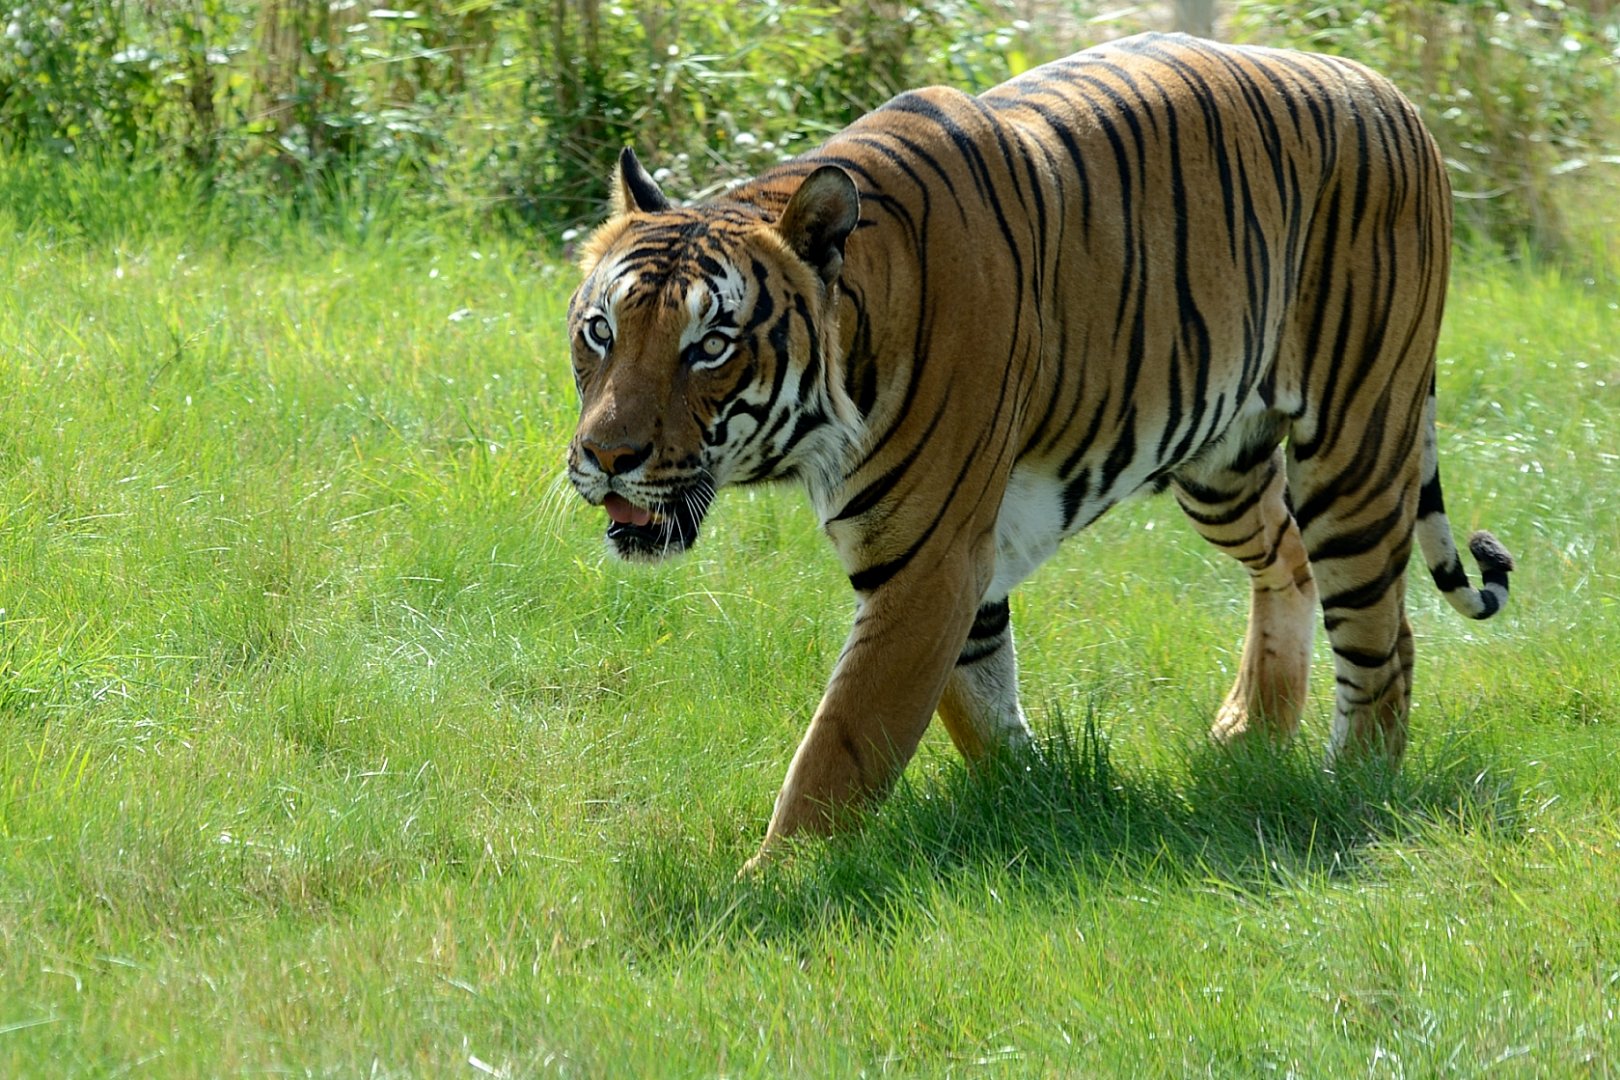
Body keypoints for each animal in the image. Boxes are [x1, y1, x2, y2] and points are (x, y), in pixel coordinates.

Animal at [563, 32, 1514, 870]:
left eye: (710, 347)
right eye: (601, 331)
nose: (606, 457)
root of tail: (1390, 92)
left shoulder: (927, 563)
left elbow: (844, 741)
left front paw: (770, 886)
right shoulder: (957, 565)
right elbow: (978, 706)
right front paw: (1037, 799)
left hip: (1357, 445)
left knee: (1384, 640)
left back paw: (1351, 790)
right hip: (1222, 463)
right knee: (1287, 561)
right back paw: (1252, 729)